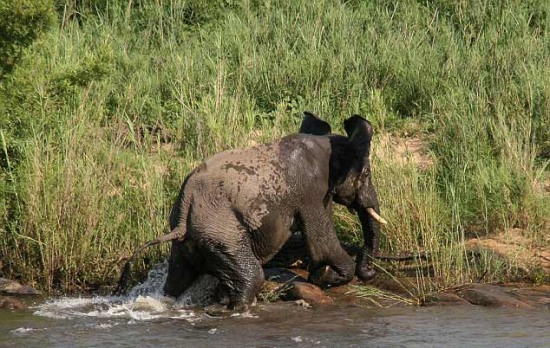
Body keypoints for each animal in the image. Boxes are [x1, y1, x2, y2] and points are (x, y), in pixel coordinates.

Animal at [114, 112, 386, 310]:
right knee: (252, 276)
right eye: (366, 173)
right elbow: (322, 243)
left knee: (177, 280)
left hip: (187, 243)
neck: (327, 143)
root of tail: (183, 212)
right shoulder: (311, 192)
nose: (372, 272)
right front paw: (325, 278)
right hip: (222, 233)